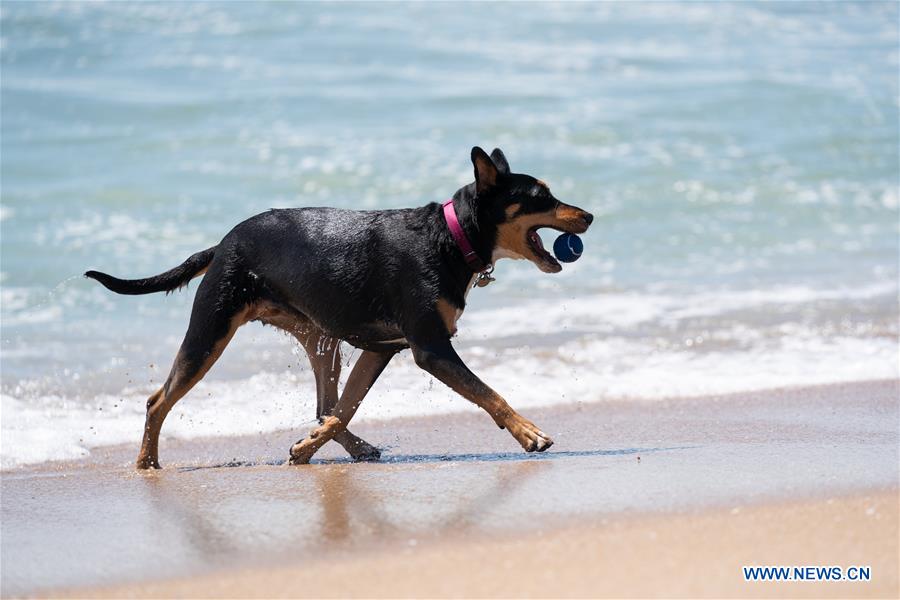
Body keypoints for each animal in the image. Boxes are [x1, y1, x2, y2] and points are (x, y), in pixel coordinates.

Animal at [84, 149, 592, 468]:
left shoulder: (383, 347)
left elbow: (344, 409)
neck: (452, 237)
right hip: (210, 330)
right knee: (157, 401)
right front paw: (529, 433)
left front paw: (308, 448)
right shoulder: (430, 348)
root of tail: (223, 243)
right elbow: (489, 393)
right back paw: (146, 462)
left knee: (323, 404)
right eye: (542, 197)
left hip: (318, 336)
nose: (588, 215)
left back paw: (344, 446)